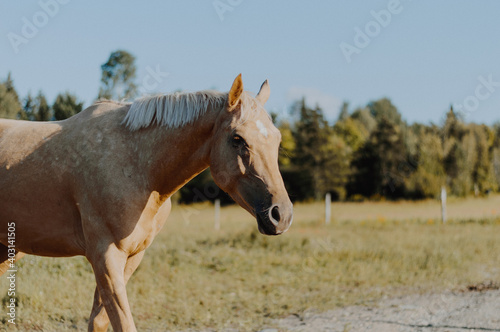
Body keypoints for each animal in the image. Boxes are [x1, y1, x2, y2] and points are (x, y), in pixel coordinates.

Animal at [0, 75, 292, 332]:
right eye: (237, 139)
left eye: (277, 139)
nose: (282, 215)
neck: (137, 166)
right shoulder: (105, 257)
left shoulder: (132, 256)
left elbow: (99, 321)